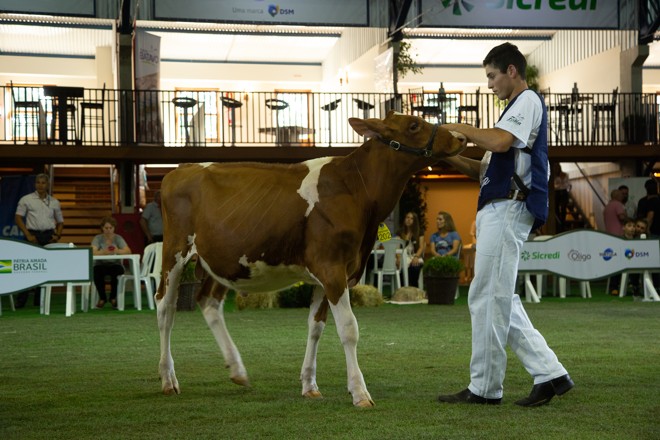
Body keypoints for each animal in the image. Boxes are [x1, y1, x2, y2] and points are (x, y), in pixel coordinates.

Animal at [157, 111, 466, 408]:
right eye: (414, 125)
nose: (461, 137)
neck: (357, 191)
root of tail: (181, 169)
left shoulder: (330, 274)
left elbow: (316, 327)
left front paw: (310, 386)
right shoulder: (331, 268)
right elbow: (348, 329)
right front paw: (359, 392)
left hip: (222, 262)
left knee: (209, 303)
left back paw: (237, 370)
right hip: (175, 252)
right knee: (165, 308)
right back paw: (168, 379)